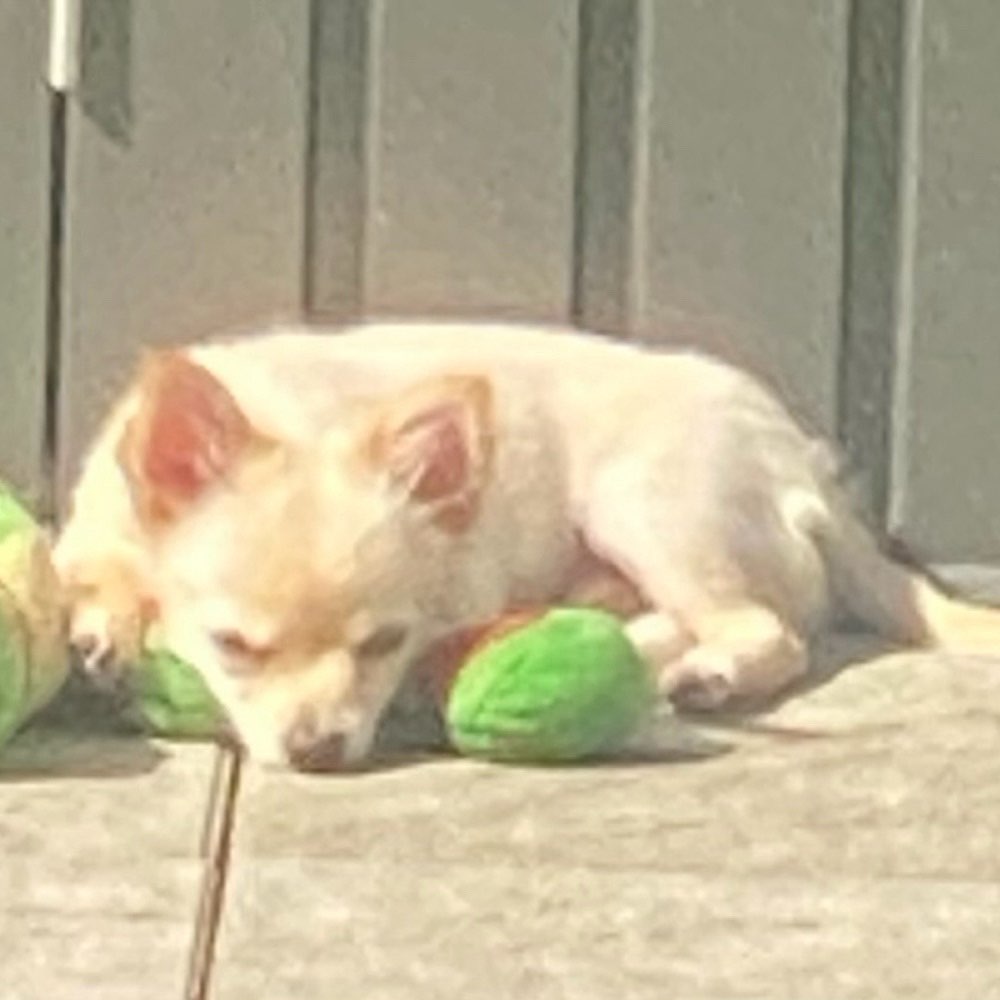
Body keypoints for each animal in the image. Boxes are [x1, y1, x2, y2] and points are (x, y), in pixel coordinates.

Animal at [54, 324, 1000, 768]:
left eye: (384, 644)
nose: (320, 747)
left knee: (769, 631)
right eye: (233, 647)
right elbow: (90, 571)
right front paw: (104, 622)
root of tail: (809, 465)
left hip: (646, 503)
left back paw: (706, 673)